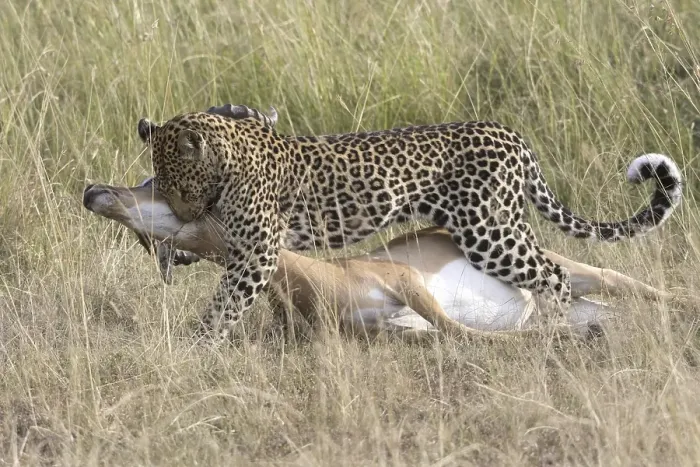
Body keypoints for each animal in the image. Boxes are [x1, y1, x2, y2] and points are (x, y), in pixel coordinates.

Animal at [136, 109, 683, 343]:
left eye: (177, 182)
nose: (182, 213)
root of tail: (511, 135)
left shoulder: (259, 251)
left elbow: (225, 301)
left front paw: (198, 345)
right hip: (503, 229)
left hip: (489, 233)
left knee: (557, 276)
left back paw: (554, 327)